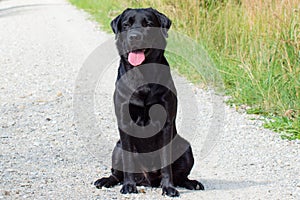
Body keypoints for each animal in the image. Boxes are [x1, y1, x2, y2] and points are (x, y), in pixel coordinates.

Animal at [95, 7, 205, 197]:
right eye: (126, 24)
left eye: (148, 24)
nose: (134, 37)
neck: (142, 75)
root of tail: (148, 180)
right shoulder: (124, 121)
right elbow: (128, 161)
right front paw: (129, 186)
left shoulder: (166, 123)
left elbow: (166, 161)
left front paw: (168, 187)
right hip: (117, 148)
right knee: (116, 173)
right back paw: (106, 181)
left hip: (185, 147)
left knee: (181, 176)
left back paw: (191, 183)